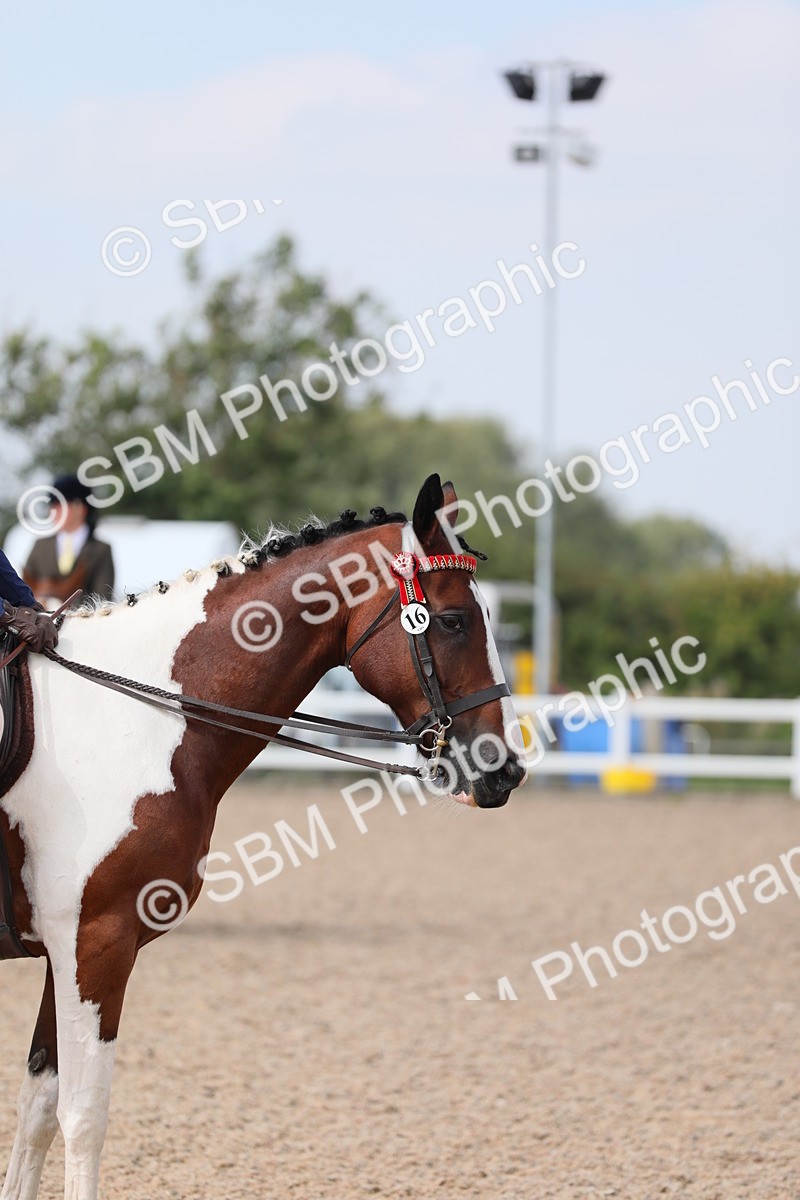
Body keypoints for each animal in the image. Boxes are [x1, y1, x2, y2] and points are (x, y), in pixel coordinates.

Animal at [0, 473, 525, 1200]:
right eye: (453, 621)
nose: (505, 770)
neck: (137, 718)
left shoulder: (67, 950)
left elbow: (39, 1109)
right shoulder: (96, 942)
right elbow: (84, 1117)